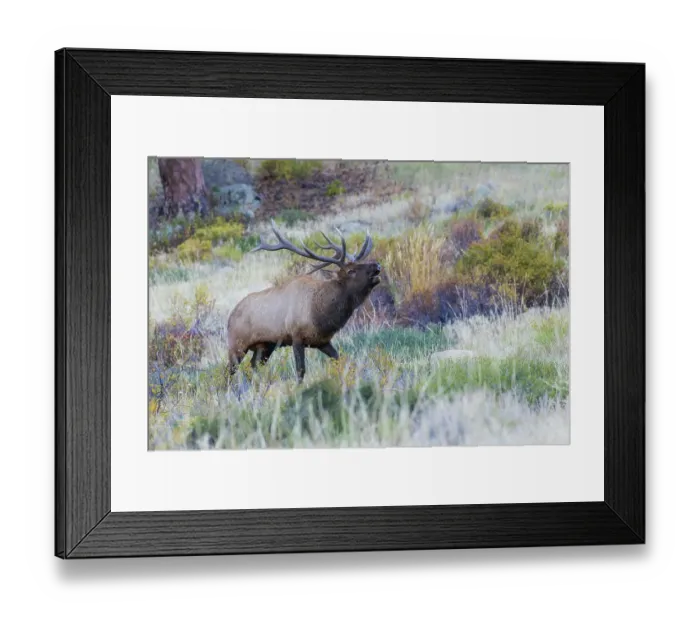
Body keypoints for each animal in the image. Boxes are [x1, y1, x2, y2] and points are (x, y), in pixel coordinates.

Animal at [226, 220, 382, 383]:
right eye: (351, 271)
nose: (377, 265)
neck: (321, 314)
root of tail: (230, 317)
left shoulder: (322, 341)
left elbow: (341, 360)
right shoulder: (296, 337)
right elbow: (300, 371)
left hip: (265, 346)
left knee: (253, 367)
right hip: (236, 344)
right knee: (229, 372)